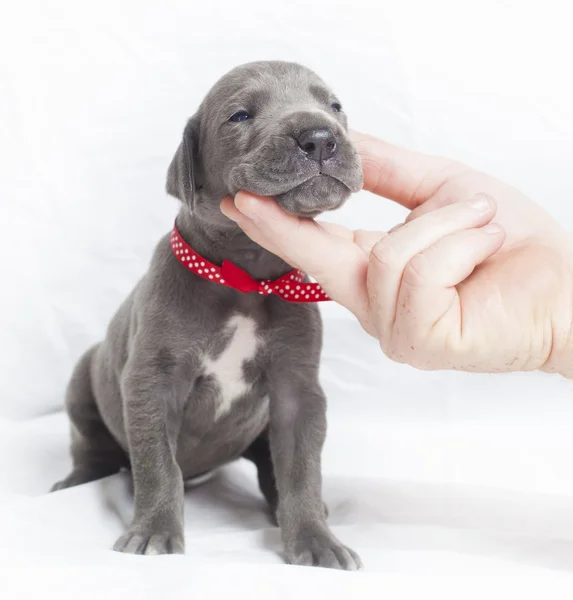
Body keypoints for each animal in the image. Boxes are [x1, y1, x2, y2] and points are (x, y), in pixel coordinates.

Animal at [54, 61, 366, 572]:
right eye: (239, 115)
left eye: (335, 106)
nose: (320, 137)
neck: (245, 278)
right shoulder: (152, 382)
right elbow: (157, 463)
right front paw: (154, 532)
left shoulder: (298, 390)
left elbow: (302, 466)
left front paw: (316, 539)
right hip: (85, 379)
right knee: (92, 447)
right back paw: (74, 481)